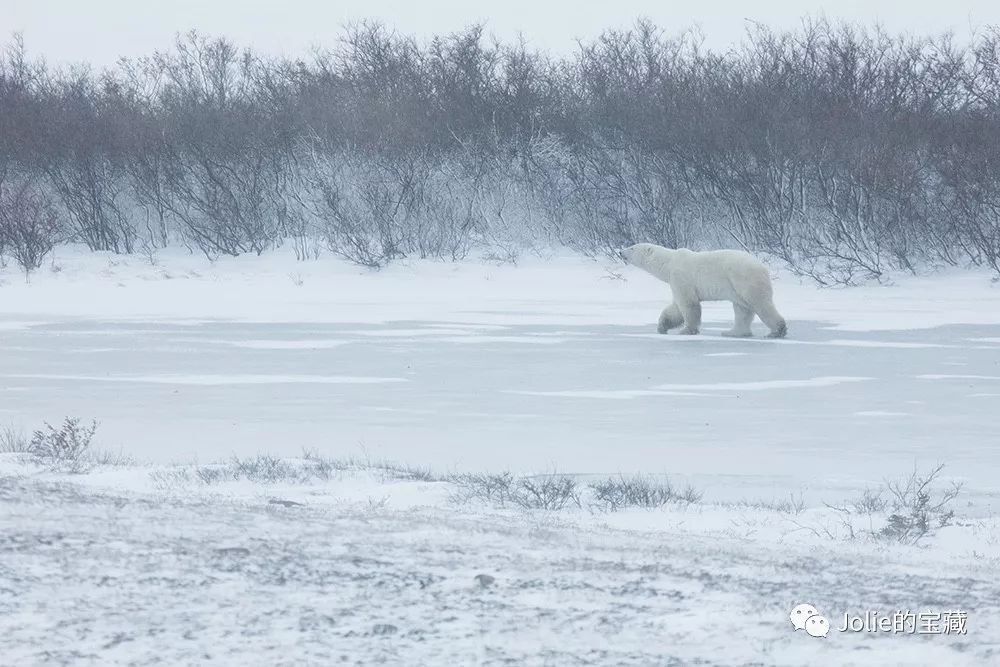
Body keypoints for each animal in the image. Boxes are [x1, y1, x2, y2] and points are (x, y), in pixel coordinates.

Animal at [616, 244, 788, 340]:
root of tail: (763, 268)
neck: (669, 262)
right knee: (742, 309)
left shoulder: (681, 276)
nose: (620, 252)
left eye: (632, 247)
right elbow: (675, 308)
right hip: (736, 287)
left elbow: (689, 304)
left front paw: (686, 330)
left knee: (760, 304)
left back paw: (777, 331)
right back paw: (733, 332)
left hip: (744, 279)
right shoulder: (675, 282)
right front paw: (662, 326)